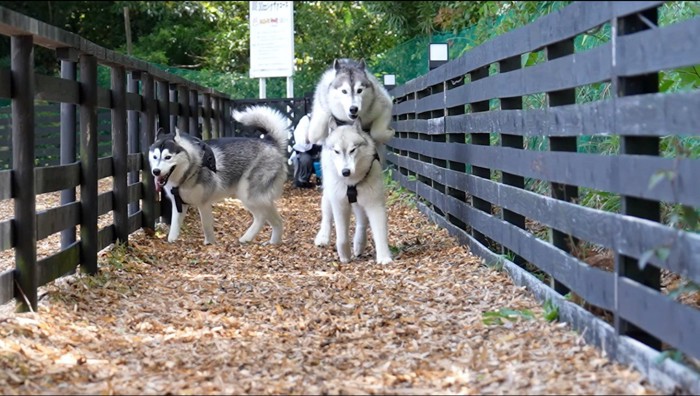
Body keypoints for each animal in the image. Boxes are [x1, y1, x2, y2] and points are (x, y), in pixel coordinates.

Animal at [148, 105, 290, 244]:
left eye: (168, 157)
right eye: (155, 157)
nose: (156, 171)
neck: (190, 171)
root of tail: (270, 142)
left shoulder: (203, 203)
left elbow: (206, 225)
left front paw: (209, 243)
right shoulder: (179, 204)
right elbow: (174, 227)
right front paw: (171, 240)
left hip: (249, 195)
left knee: (261, 217)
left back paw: (246, 238)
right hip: (260, 199)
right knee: (277, 220)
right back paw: (273, 243)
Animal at [318, 117, 394, 266]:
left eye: (353, 150)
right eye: (336, 151)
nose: (345, 172)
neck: (351, 183)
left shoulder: (374, 204)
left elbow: (380, 233)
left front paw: (384, 257)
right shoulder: (340, 205)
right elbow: (341, 236)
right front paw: (344, 255)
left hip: (361, 202)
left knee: (362, 223)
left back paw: (359, 244)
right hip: (329, 196)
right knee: (327, 217)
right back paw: (323, 237)